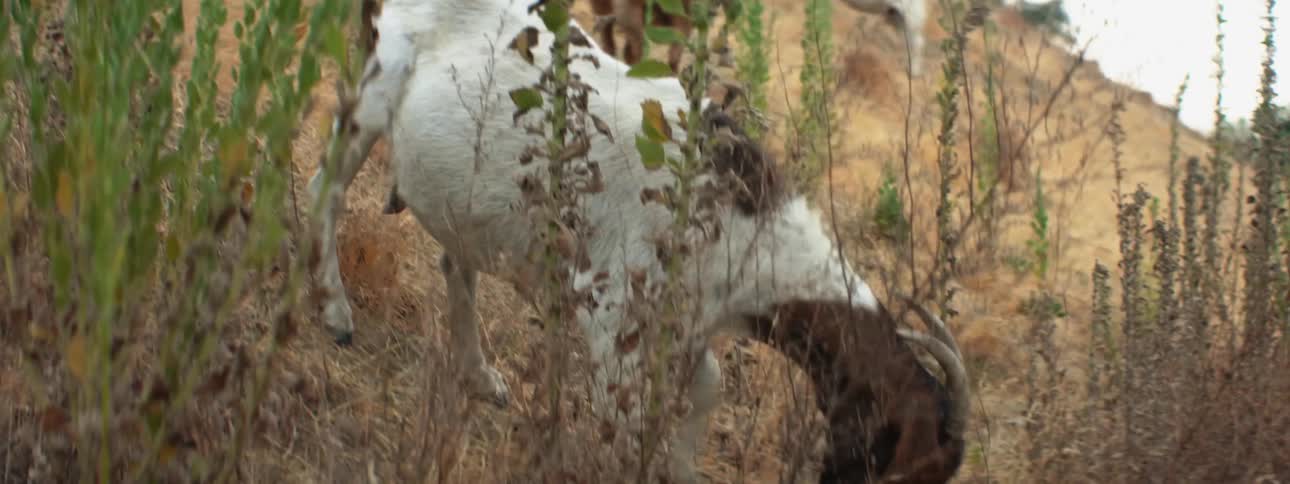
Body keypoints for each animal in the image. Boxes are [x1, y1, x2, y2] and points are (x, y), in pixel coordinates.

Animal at [307, 0, 971, 482]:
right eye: (907, 464)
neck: (743, 222)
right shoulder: (611, 308)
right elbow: (625, 419)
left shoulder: (687, 322)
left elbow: (705, 390)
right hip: (373, 89)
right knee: (326, 187)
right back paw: (334, 312)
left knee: (456, 261)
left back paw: (479, 377)